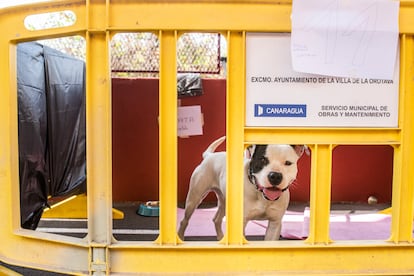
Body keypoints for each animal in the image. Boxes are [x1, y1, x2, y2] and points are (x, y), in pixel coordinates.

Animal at [176, 137, 306, 240]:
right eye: (262, 159)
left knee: (217, 219)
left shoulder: (275, 224)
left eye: (288, 163)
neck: (260, 194)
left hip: (224, 202)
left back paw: (221, 238)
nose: (275, 176)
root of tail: (209, 156)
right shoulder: (241, 222)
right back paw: (181, 237)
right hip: (194, 198)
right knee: (184, 220)